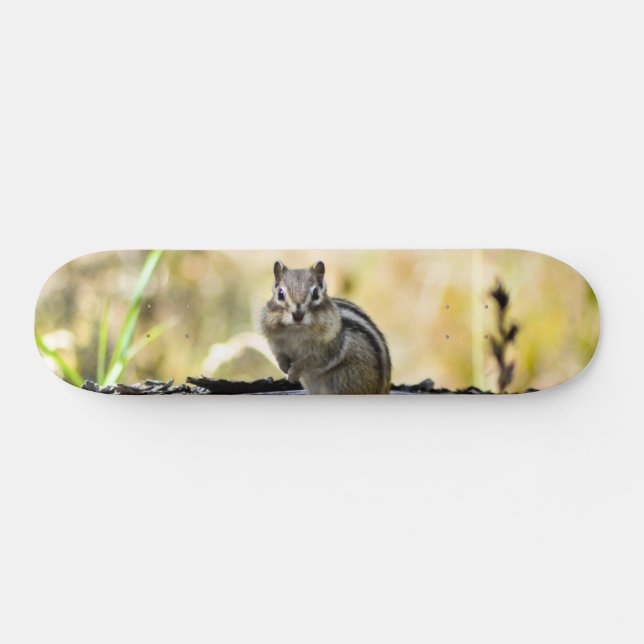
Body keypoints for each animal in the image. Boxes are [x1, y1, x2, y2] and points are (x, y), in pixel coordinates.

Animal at [260, 260, 391, 394]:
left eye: (315, 294)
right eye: (280, 294)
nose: (298, 315)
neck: (296, 330)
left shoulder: (330, 347)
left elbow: (311, 360)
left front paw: (293, 371)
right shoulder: (274, 341)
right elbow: (278, 354)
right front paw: (284, 367)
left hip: (342, 378)